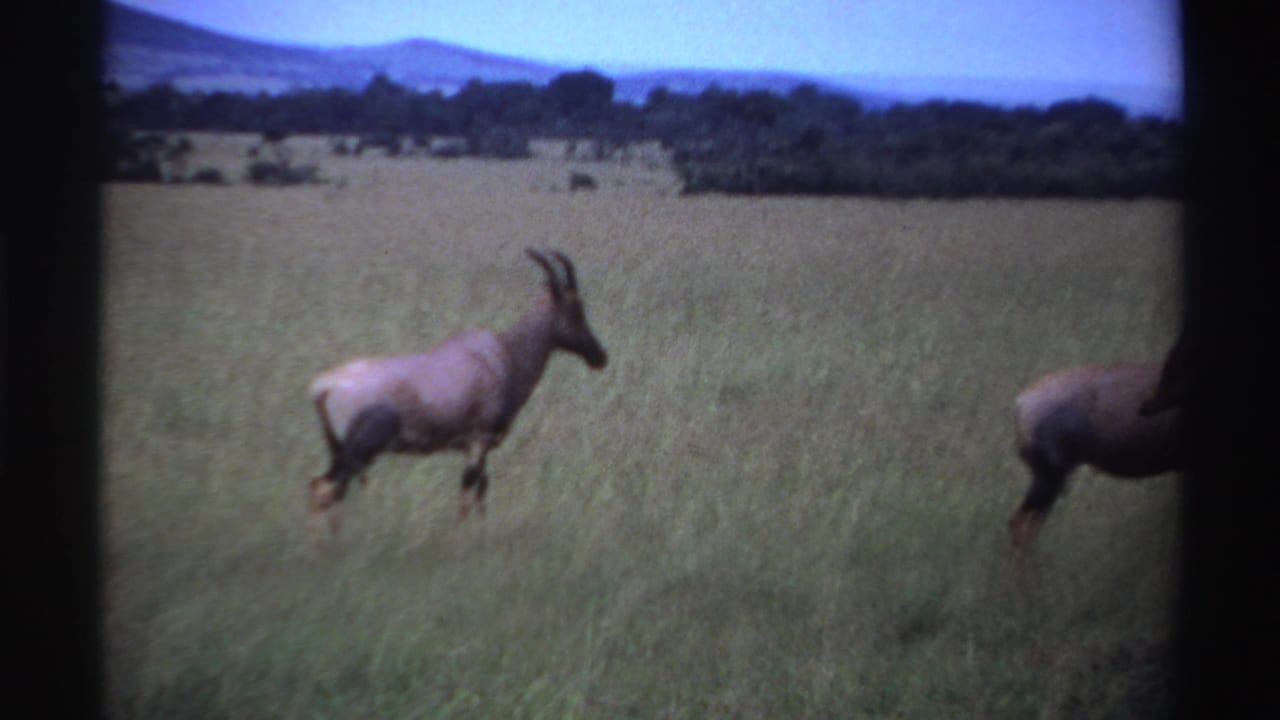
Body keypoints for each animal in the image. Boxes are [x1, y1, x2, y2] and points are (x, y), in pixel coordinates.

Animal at [307, 248, 608, 541]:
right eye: (576, 310)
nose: (599, 357)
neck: (502, 355)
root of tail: (324, 386)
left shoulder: (478, 448)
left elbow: (480, 491)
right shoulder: (477, 443)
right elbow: (468, 492)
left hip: (338, 449)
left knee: (321, 487)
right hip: (359, 450)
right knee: (326, 489)